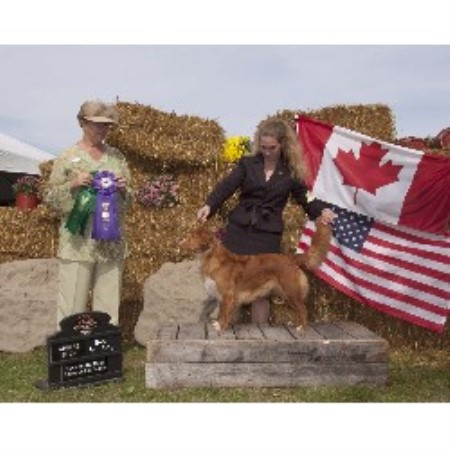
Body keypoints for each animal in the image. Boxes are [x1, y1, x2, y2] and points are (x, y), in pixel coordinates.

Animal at [181, 220, 332, 332]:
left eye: (191, 237)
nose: (181, 243)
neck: (211, 256)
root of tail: (290, 258)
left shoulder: (228, 294)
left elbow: (225, 312)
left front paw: (222, 327)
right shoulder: (221, 295)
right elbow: (221, 311)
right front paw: (219, 324)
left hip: (291, 290)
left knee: (303, 309)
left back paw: (302, 328)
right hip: (286, 292)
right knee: (298, 309)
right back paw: (296, 325)